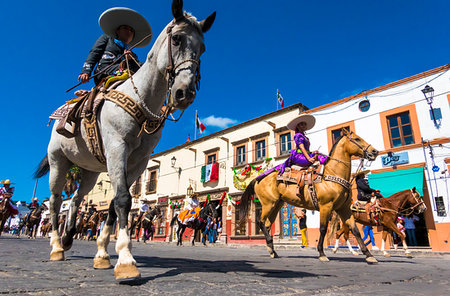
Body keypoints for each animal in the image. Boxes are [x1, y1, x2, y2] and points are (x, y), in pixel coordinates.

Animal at [34, 0, 214, 280]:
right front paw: (126, 261)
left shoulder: (138, 161)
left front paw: (103, 254)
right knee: (54, 202)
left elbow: (113, 205)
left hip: (89, 171)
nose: (184, 93)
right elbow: (121, 200)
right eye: (176, 39)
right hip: (58, 162)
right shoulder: (118, 148)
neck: (142, 98)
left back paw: (68, 238)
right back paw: (56, 246)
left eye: (202, 48)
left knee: (75, 199)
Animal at [239, 131, 380, 262]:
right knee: (261, 222)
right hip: (268, 204)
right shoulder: (325, 206)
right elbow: (323, 229)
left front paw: (369, 255)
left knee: (267, 225)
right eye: (357, 139)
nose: (374, 151)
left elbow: (355, 230)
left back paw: (272, 251)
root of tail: (258, 179)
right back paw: (270, 245)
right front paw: (322, 253)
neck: (332, 174)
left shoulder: (343, 208)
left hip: (276, 205)